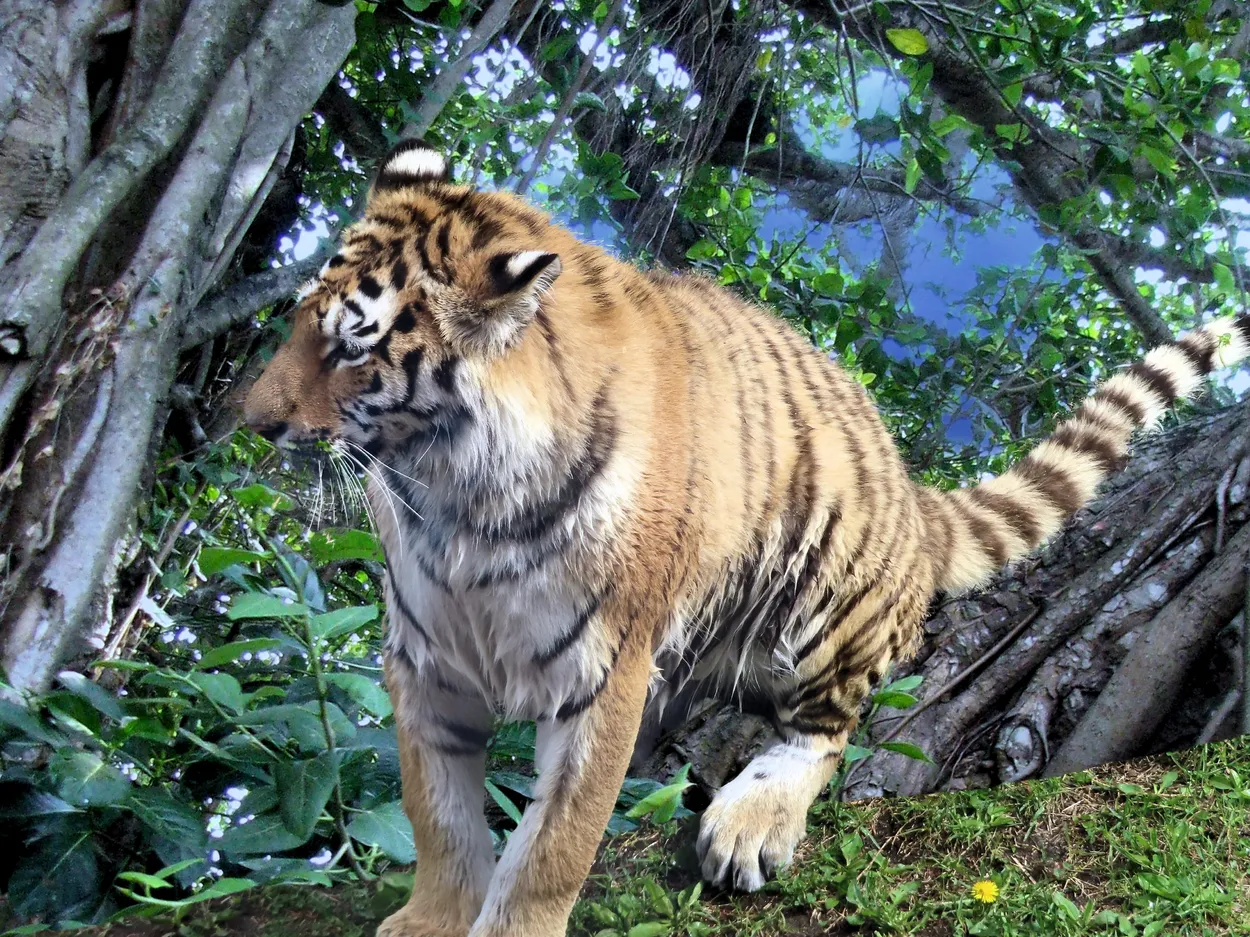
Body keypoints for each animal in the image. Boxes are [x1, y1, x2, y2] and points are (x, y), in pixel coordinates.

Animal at [242, 137, 1250, 937]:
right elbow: (440, 817)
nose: (247, 420)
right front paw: (432, 919)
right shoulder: (426, 661)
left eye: (354, 345)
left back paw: (751, 820)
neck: (451, 495)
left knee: (826, 732)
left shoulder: (603, 672)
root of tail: (908, 488)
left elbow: (553, 845)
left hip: (824, 601)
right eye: (298, 318)